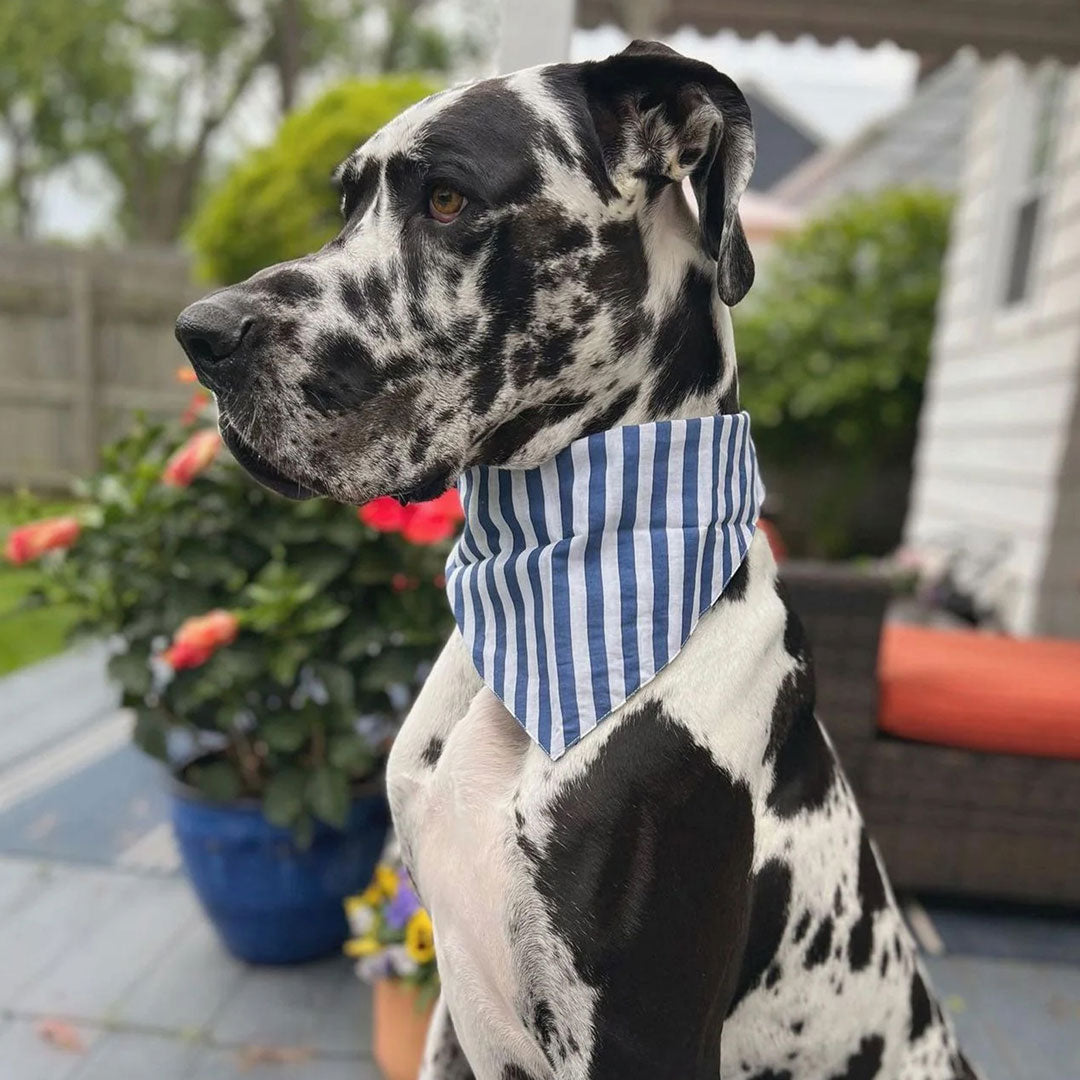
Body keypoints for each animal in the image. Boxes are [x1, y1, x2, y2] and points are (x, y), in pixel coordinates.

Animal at [174, 39, 980, 1080]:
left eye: (446, 199)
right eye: (347, 202)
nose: (202, 335)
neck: (544, 579)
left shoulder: (639, 1036)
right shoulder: (453, 1021)